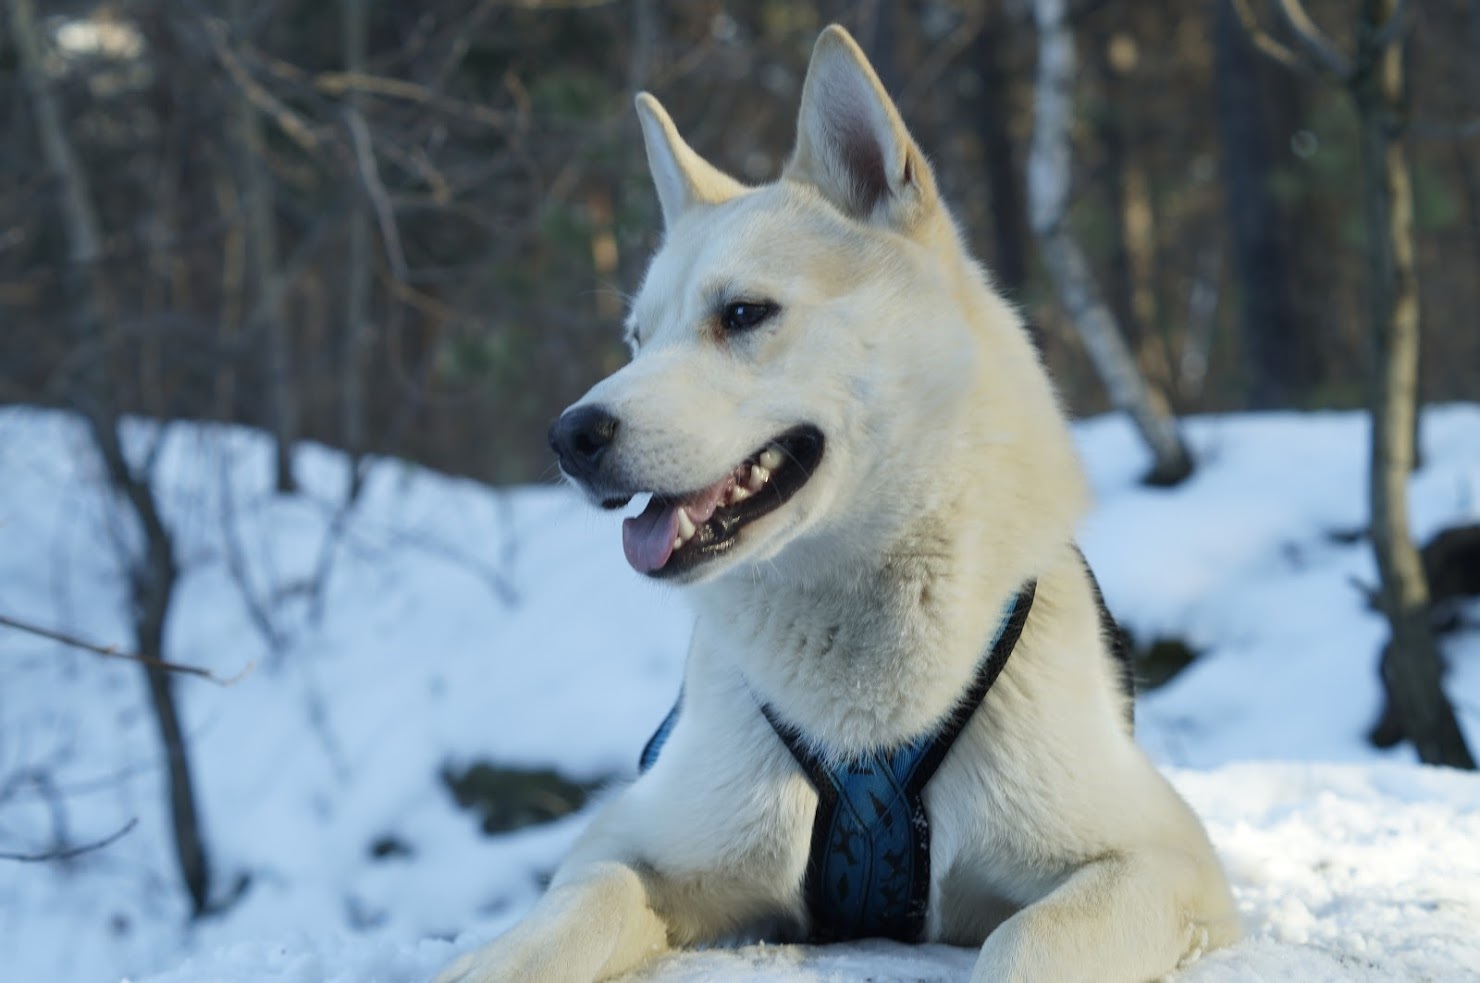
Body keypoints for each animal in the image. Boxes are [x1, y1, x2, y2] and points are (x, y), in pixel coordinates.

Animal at [435, 23, 1237, 983]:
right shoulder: (632, 837)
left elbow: (1028, 935)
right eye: (636, 338)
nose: (569, 436)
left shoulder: (1159, 855)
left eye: (743, 313)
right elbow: (577, 905)